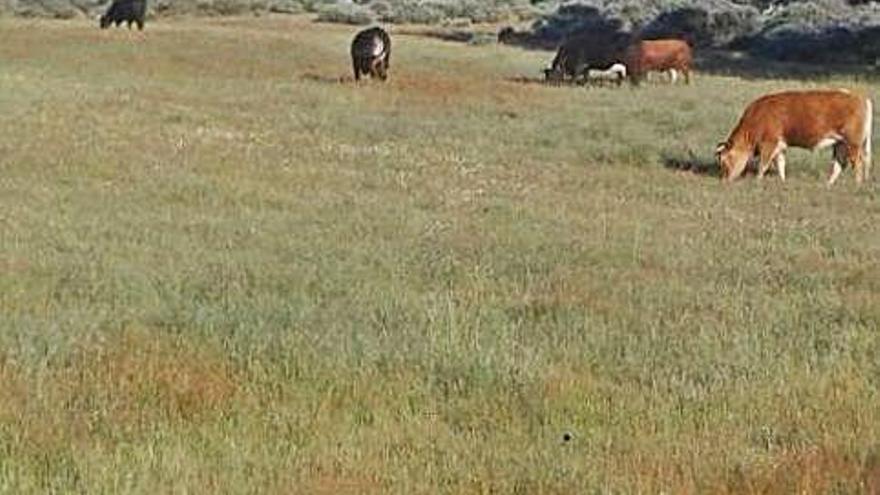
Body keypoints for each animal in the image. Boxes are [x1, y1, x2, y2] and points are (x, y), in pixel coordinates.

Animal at [715, 89, 873, 185]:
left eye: (724, 161)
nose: (723, 180)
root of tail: (859, 97)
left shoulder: (769, 143)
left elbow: (763, 165)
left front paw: (758, 181)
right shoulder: (779, 146)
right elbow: (780, 164)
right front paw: (783, 181)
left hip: (853, 143)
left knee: (857, 162)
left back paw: (857, 184)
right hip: (840, 143)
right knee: (840, 164)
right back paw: (828, 184)